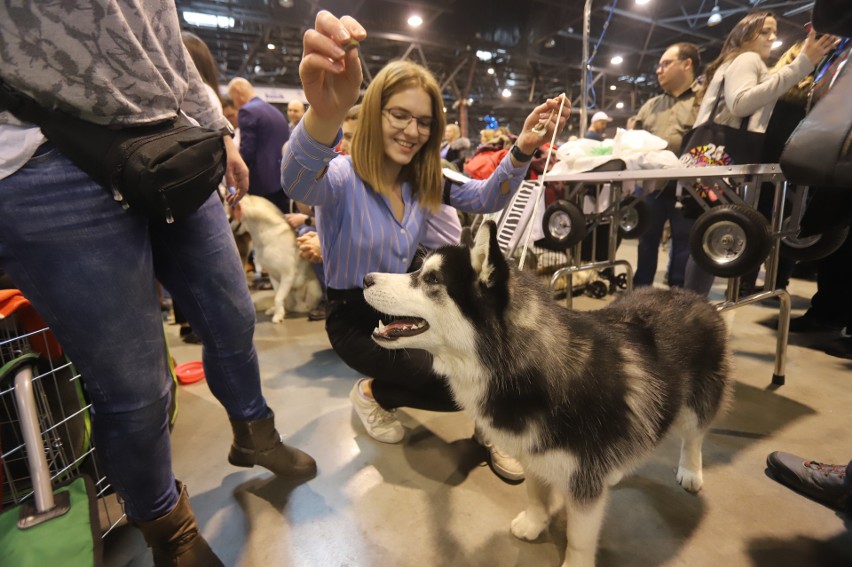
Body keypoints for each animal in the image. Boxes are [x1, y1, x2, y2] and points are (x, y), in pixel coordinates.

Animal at [362, 221, 728, 567]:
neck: (520, 368)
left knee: (694, 437)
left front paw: (575, 562)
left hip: (697, 404)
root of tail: (695, 296)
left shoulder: (583, 481)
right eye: (420, 271)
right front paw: (535, 523)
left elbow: (579, 536)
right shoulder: (533, 452)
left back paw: (691, 471)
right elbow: (536, 494)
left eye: (432, 279)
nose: (365, 278)